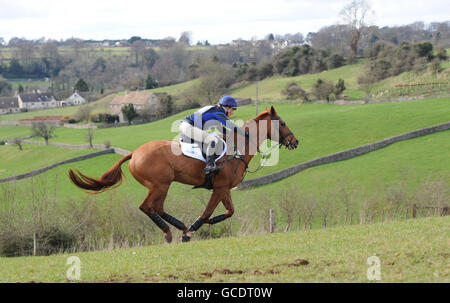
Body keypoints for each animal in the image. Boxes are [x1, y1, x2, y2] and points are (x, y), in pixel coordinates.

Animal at [67, 105, 298, 243]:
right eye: (283, 123)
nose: (295, 142)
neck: (237, 147)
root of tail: (134, 154)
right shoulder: (220, 188)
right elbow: (206, 212)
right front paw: (196, 228)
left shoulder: (224, 189)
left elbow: (230, 211)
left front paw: (205, 225)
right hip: (160, 184)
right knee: (147, 207)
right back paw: (173, 231)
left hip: (162, 185)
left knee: (158, 208)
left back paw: (180, 227)